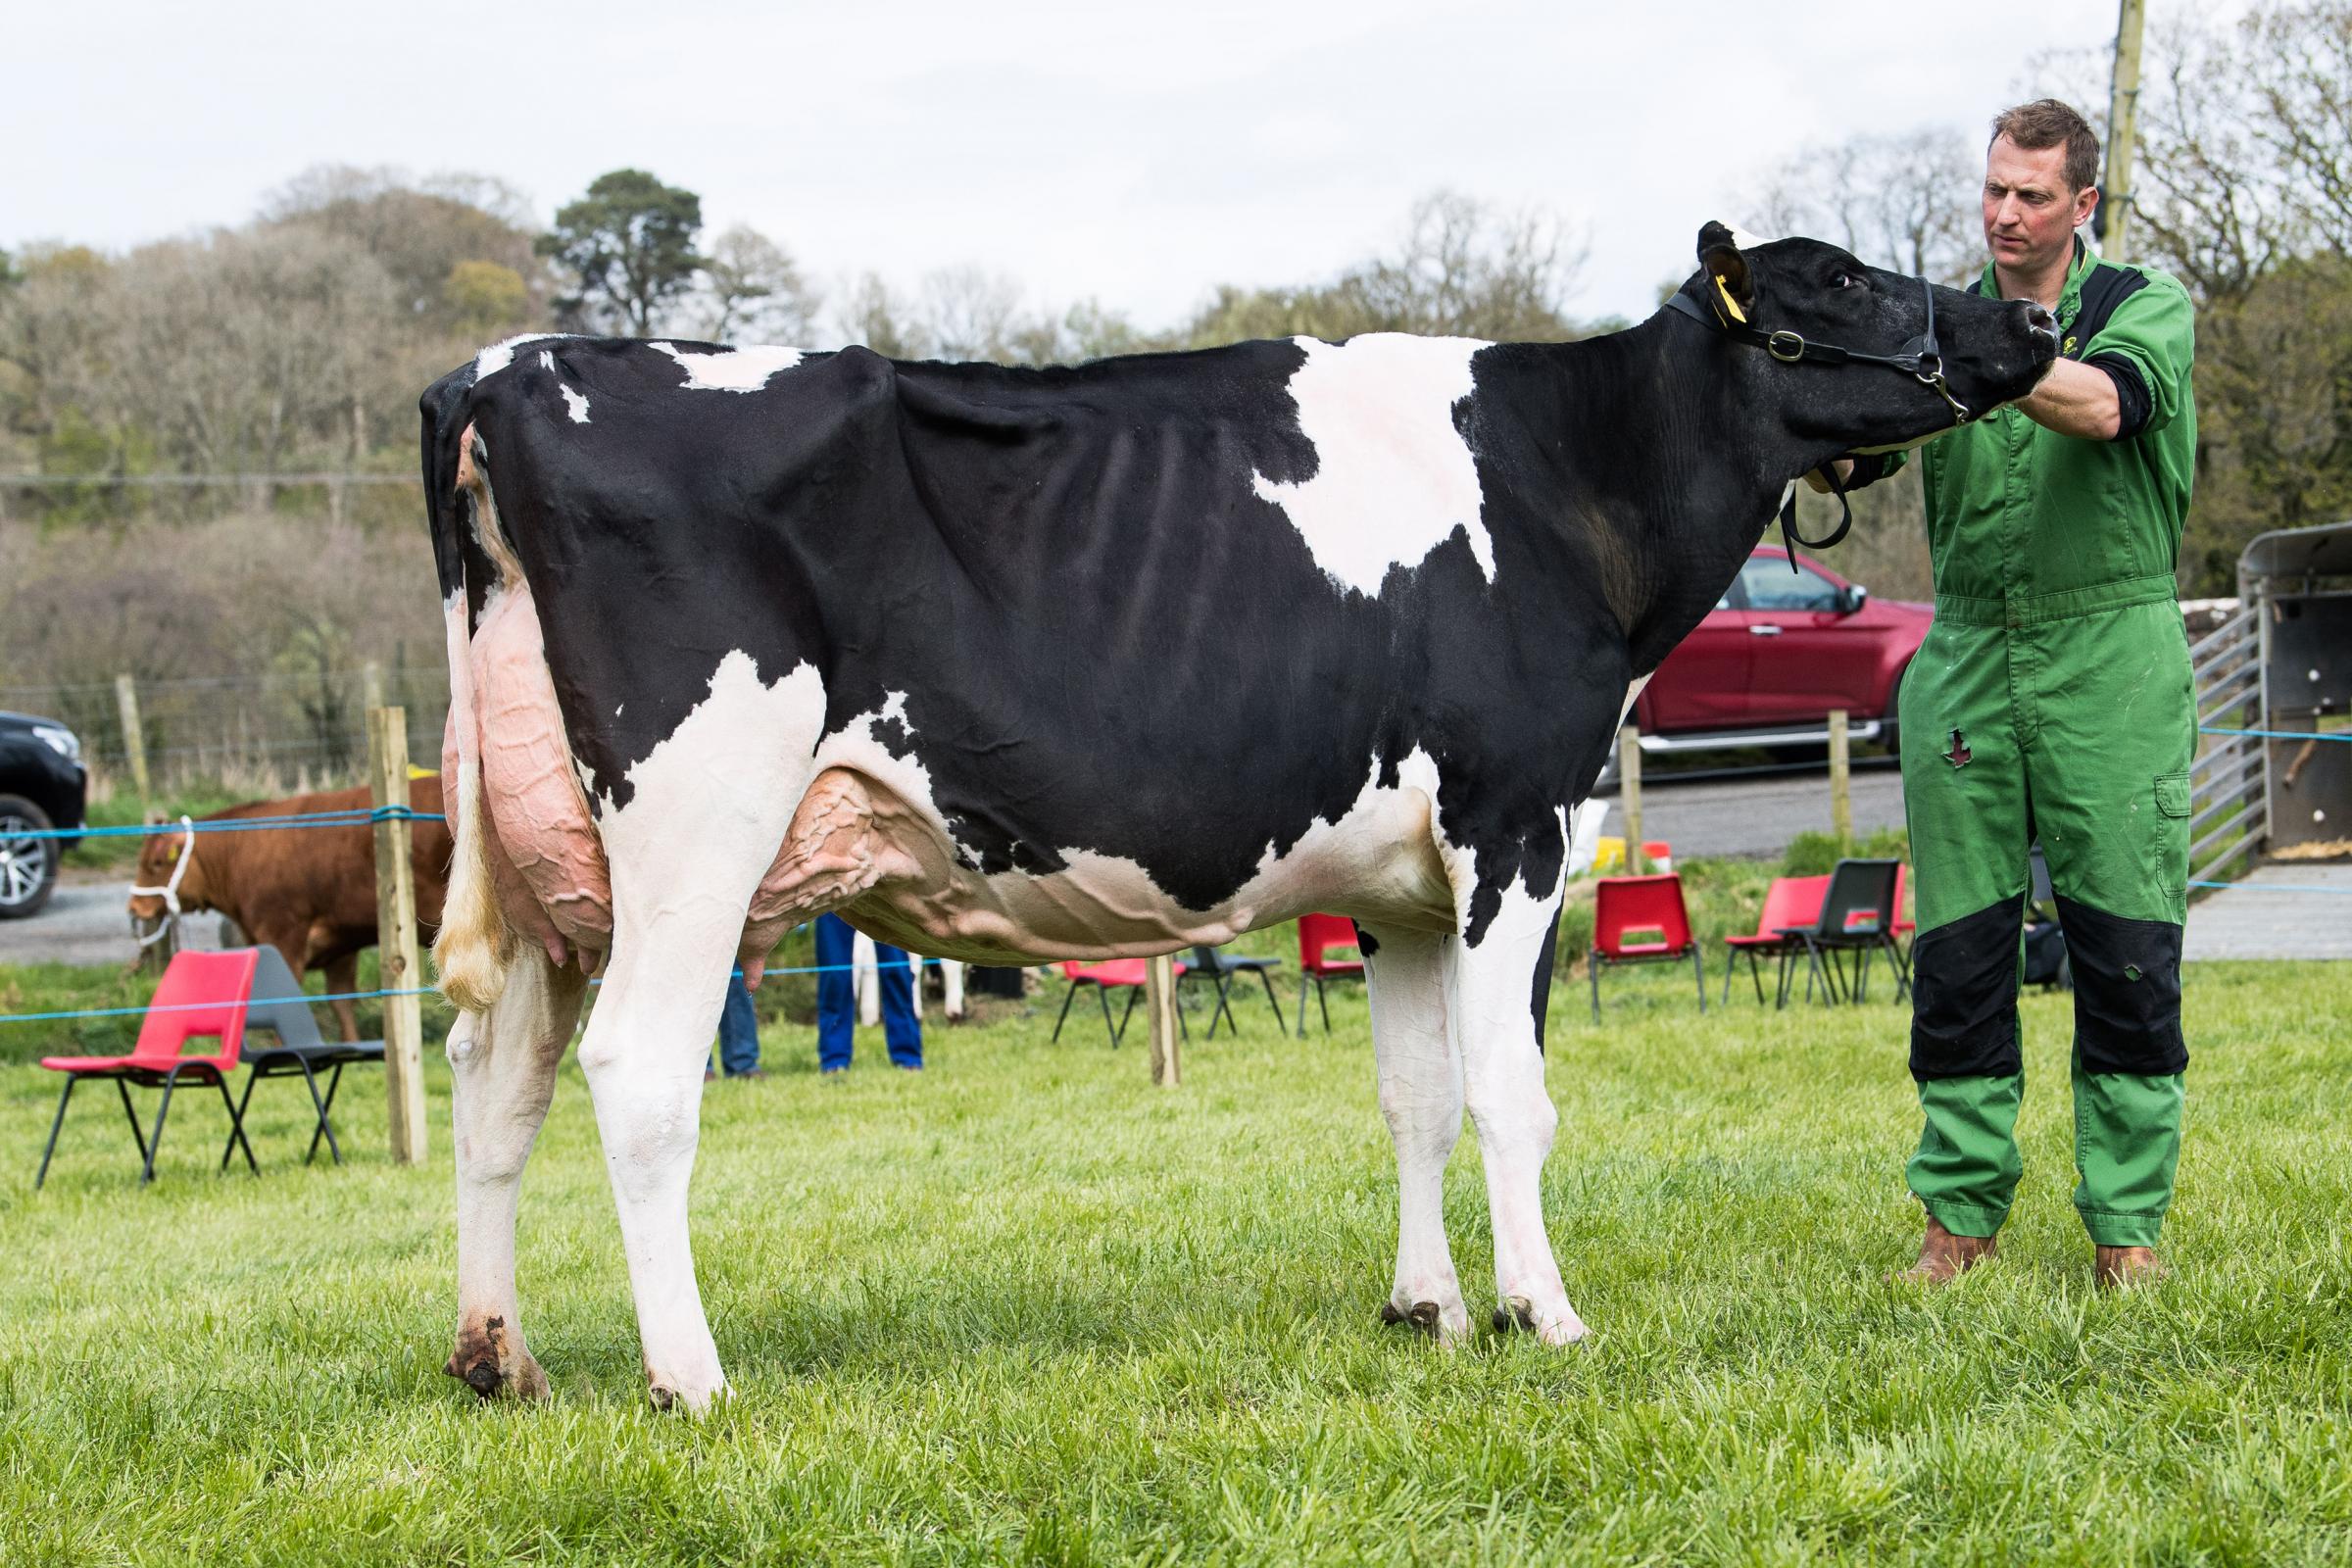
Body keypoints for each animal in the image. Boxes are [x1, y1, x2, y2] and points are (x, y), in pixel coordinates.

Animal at [129, 780, 454, 1044]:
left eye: (156, 863)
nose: (135, 906)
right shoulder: (341, 942)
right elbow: (341, 1002)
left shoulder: (283, 934)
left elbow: (285, 1000)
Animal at [427, 222, 2060, 1410]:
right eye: (1841, 280)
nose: (2034, 328)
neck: (1564, 476)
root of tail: (503, 371)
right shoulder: (1518, 822)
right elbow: (1512, 1094)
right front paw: (1543, 1312)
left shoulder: (1402, 883)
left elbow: (1415, 1096)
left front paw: (1428, 1308)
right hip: (696, 824)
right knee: (637, 1075)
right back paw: (691, 1380)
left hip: (540, 864)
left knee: (493, 1083)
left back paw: (499, 1356)